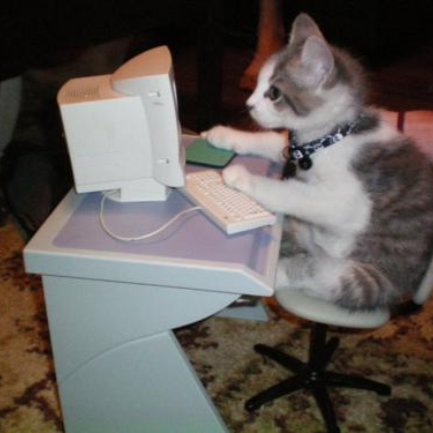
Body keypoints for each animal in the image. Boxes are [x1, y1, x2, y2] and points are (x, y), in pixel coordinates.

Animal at [204, 12, 432, 310]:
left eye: (274, 93)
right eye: (258, 84)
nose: (249, 104)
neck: (329, 139)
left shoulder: (349, 203)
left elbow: (293, 193)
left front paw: (242, 177)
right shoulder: (294, 148)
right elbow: (271, 140)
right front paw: (223, 134)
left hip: (361, 275)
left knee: (315, 274)